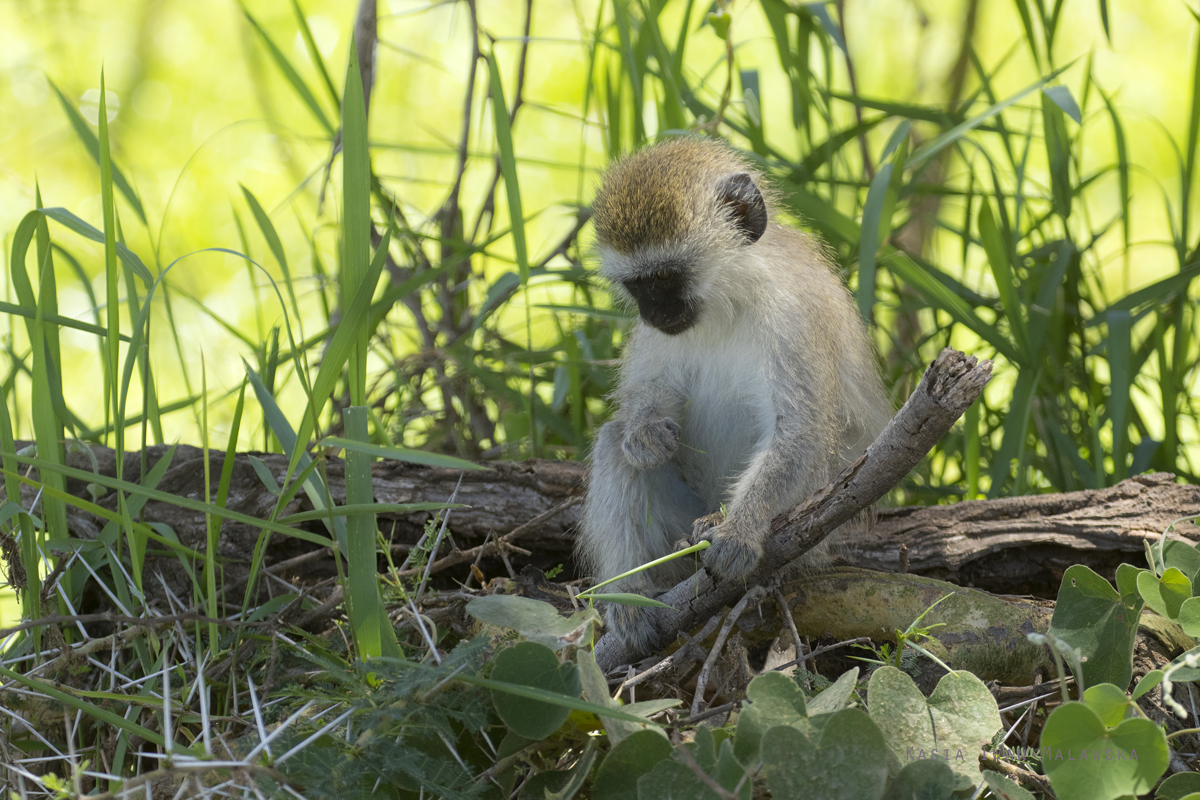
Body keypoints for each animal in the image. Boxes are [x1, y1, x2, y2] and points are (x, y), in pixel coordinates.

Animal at [580, 136, 892, 652]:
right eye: (637, 285)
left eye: (665, 277)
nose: (654, 314)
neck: (727, 302)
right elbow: (648, 393)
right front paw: (645, 434)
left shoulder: (793, 316)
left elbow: (800, 432)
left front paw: (740, 532)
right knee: (612, 443)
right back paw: (631, 600)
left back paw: (717, 532)